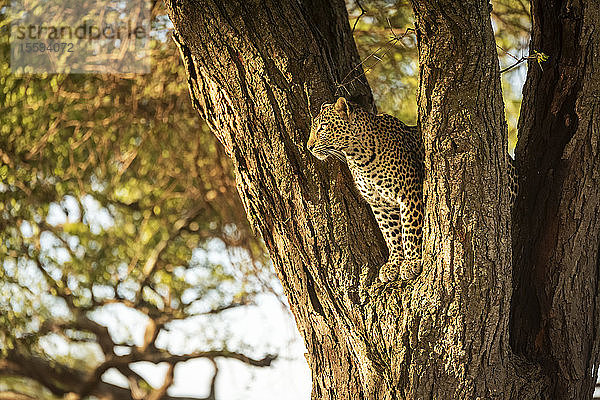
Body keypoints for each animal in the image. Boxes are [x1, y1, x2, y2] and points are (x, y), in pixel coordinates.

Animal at [308, 97, 516, 282]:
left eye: (323, 127)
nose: (309, 147)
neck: (359, 157)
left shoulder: (409, 193)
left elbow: (409, 229)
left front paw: (411, 262)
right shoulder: (380, 204)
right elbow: (391, 234)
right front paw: (393, 264)